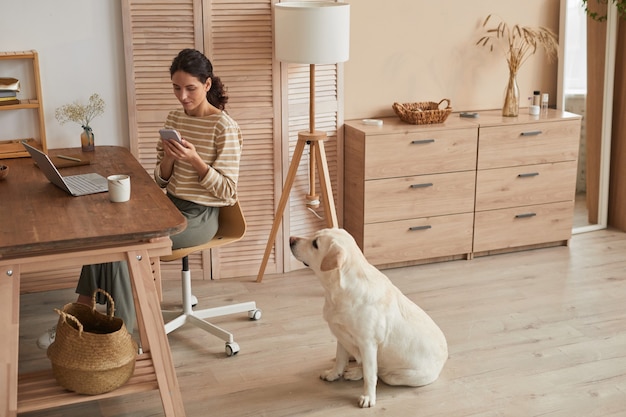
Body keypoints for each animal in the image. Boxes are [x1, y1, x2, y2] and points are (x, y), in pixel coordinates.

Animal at [290, 228, 446, 406]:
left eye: (315, 244)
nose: (290, 239)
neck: (337, 291)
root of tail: (444, 359)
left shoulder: (368, 344)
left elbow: (370, 375)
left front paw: (368, 397)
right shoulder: (341, 334)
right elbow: (340, 359)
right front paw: (333, 374)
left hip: (396, 376)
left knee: (380, 372)